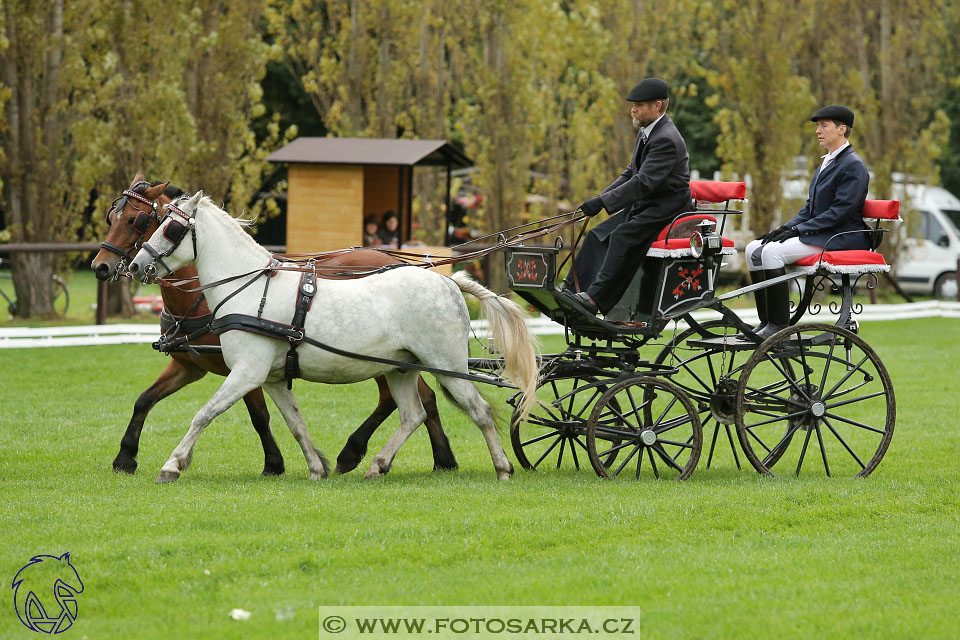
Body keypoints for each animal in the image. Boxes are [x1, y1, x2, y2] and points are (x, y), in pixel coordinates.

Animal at [92, 175, 460, 476]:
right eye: (112, 217)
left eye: (138, 220)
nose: (101, 266)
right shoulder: (190, 365)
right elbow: (144, 400)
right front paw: (125, 457)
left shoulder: (246, 368)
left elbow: (254, 416)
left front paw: (273, 463)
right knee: (416, 400)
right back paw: (428, 458)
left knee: (414, 398)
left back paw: (379, 454)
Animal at [125, 192, 540, 482]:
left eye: (170, 228)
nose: (136, 265)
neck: (251, 287)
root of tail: (448, 281)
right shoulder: (272, 378)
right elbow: (296, 424)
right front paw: (316, 467)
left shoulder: (247, 372)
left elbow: (204, 414)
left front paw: (172, 464)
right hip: (401, 369)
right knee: (413, 414)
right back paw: (376, 465)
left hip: (446, 364)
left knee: (478, 410)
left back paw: (503, 467)